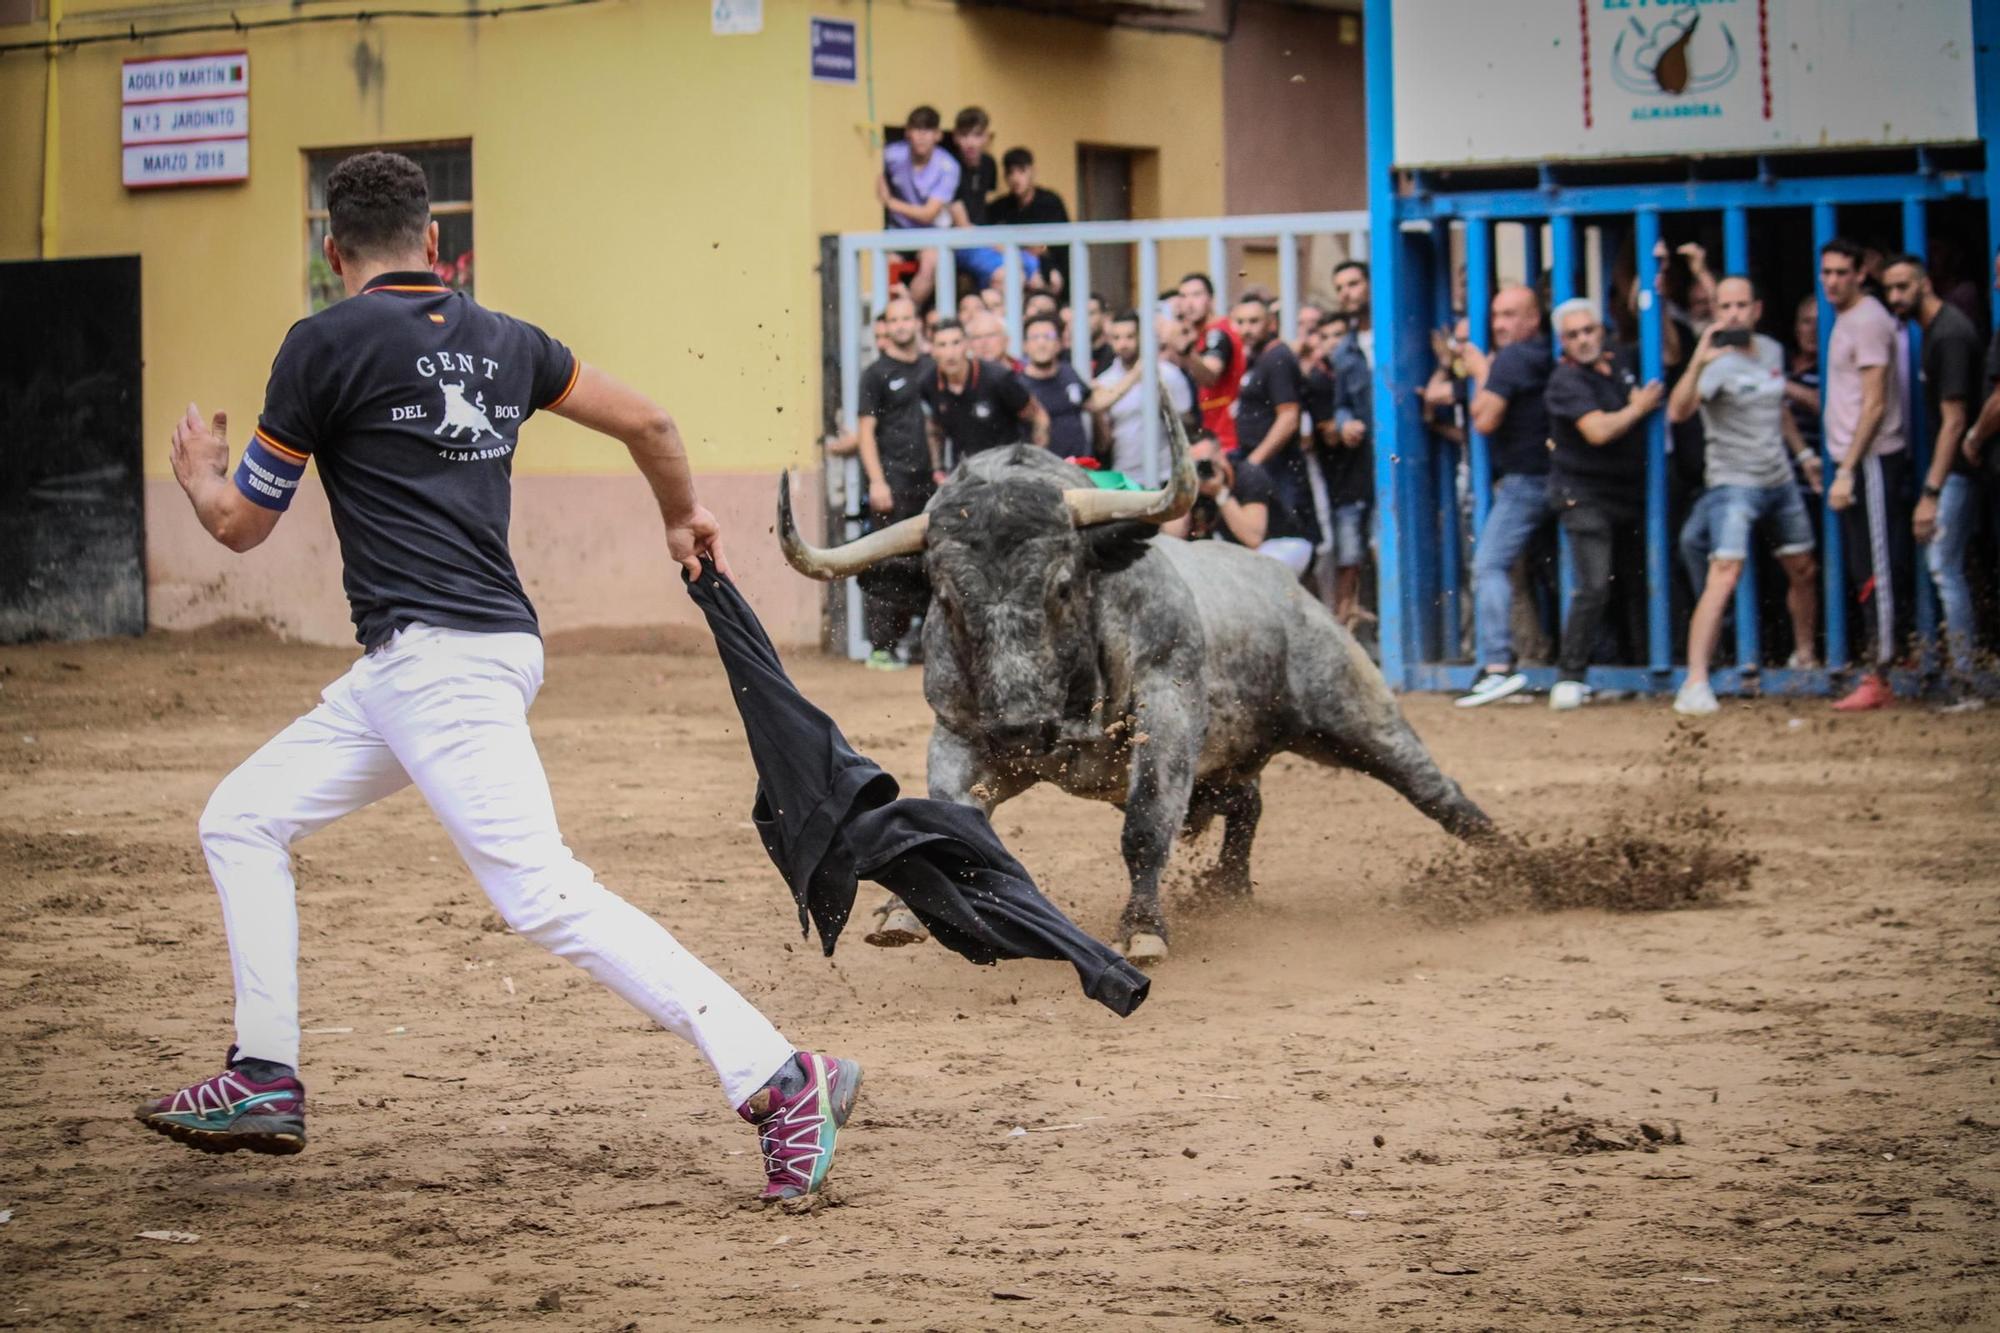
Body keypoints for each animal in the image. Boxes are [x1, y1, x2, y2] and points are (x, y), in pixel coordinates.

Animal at [776, 400, 1488, 960]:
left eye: (1063, 585)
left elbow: (1146, 828)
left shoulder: (1166, 711)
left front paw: (1144, 929)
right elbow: (948, 817)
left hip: (1350, 714)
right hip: (1231, 762)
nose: (1020, 730)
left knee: (1434, 788)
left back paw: (1499, 864)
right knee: (1248, 804)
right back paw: (1230, 893)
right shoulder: (958, 734)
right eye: (948, 600)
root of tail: (1289, 587)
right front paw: (900, 913)